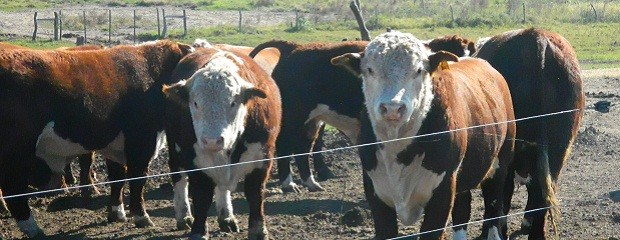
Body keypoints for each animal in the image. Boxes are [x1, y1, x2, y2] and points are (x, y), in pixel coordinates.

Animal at [0, 39, 194, 238]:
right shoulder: (141, 141)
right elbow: (138, 178)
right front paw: (141, 216)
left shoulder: (117, 146)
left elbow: (117, 177)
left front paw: (117, 212)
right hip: (17, 149)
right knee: (12, 188)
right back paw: (33, 228)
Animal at [163, 47, 282, 240]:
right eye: (195, 103)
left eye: (233, 102)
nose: (212, 140)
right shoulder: (194, 161)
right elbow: (202, 196)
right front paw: (198, 231)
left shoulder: (263, 158)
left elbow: (255, 193)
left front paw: (258, 231)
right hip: (174, 146)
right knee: (179, 176)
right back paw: (184, 215)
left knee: (223, 187)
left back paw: (226, 217)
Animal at [332, 30, 516, 240]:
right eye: (369, 70)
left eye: (419, 70)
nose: (393, 108)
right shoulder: (375, 192)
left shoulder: (443, 192)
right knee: (462, 209)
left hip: (500, 164)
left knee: (493, 209)